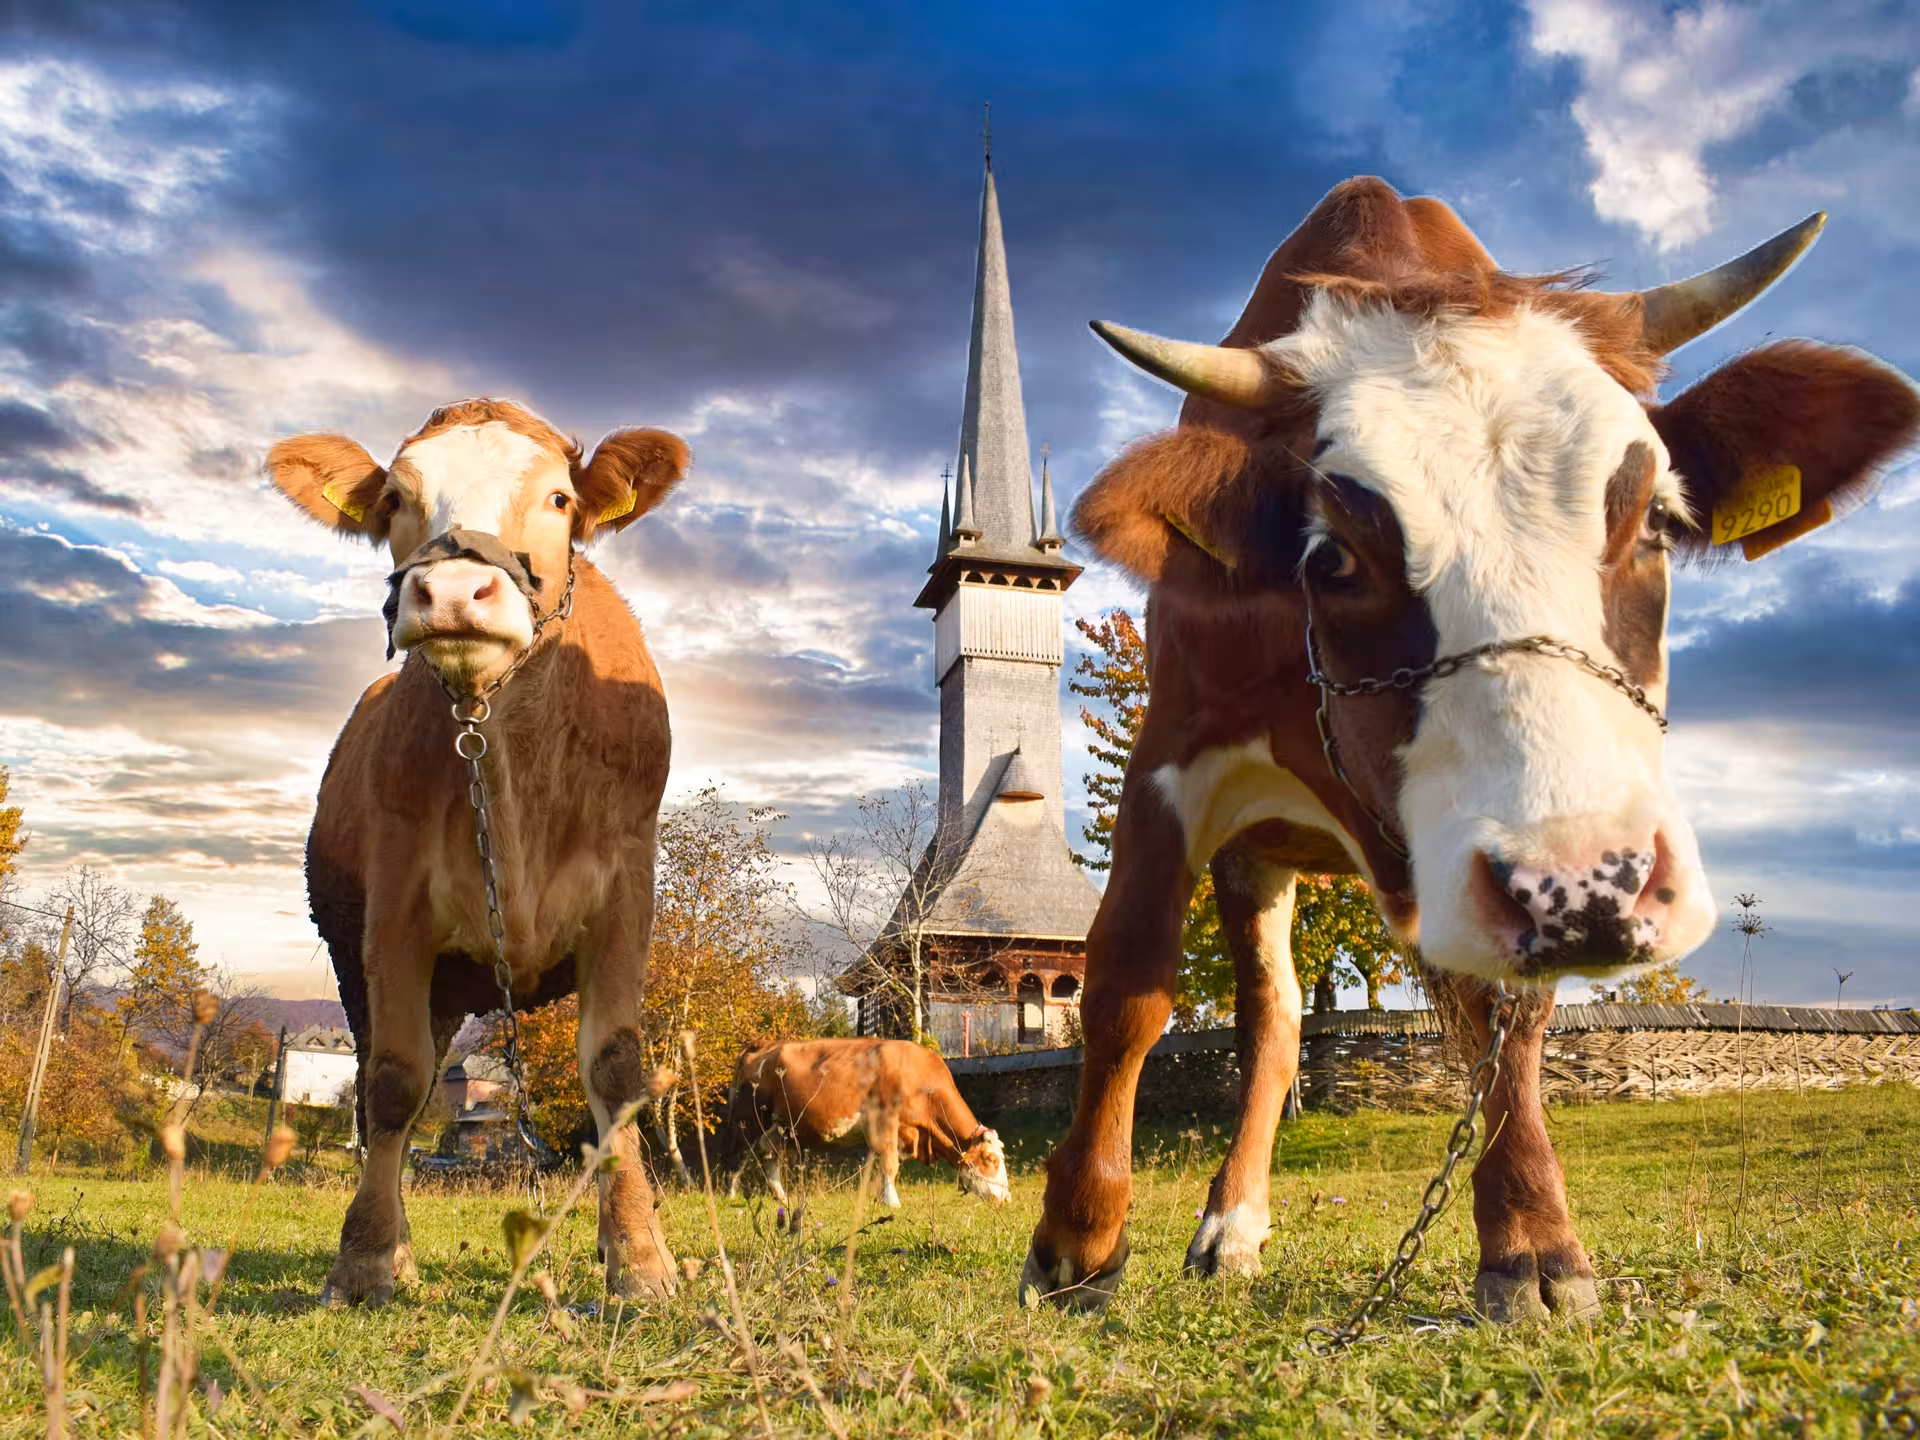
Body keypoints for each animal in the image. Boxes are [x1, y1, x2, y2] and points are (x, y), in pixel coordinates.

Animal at [265, 398, 691, 1305]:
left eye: (560, 499)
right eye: (395, 499)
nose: (455, 590)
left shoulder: (626, 891)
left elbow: (615, 1073)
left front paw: (638, 1258)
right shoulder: (393, 910)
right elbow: (393, 1081)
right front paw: (365, 1264)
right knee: (393, 1086)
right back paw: (395, 1247)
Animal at [722, 1038, 1011, 1210]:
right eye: (992, 1160)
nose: (1007, 1198)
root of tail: (761, 1046)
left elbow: (877, 1166)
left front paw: (878, 1197)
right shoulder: (886, 1122)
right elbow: (890, 1165)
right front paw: (892, 1203)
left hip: (780, 1127)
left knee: (769, 1154)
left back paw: (780, 1197)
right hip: (747, 1122)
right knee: (736, 1157)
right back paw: (730, 1196)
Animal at [1019, 178, 1920, 1321]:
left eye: (1656, 522)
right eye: (1334, 556)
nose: (1591, 885)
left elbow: (1506, 1013)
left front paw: (1533, 1239)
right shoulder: (1171, 755)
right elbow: (1127, 982)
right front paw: (1078, 1243)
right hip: (1257, 852)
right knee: (1270, 1020)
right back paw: (1227, 1225)